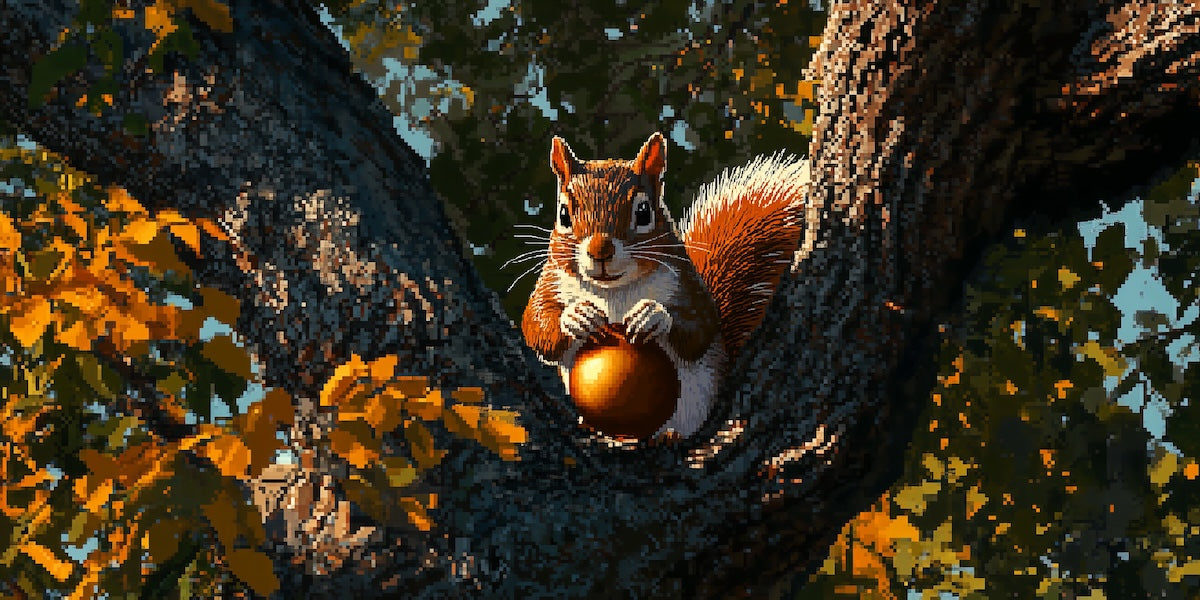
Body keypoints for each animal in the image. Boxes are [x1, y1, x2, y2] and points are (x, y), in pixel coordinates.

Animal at [520, 132, 808, 438]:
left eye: (644, 212)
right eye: (563, 214)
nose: (601, 251)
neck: (613, 291)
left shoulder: (686, 282)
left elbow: (700, 326)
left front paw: (653, 316)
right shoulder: (551, 282)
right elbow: (536, 325)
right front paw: (577, 316)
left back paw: (668, 436)